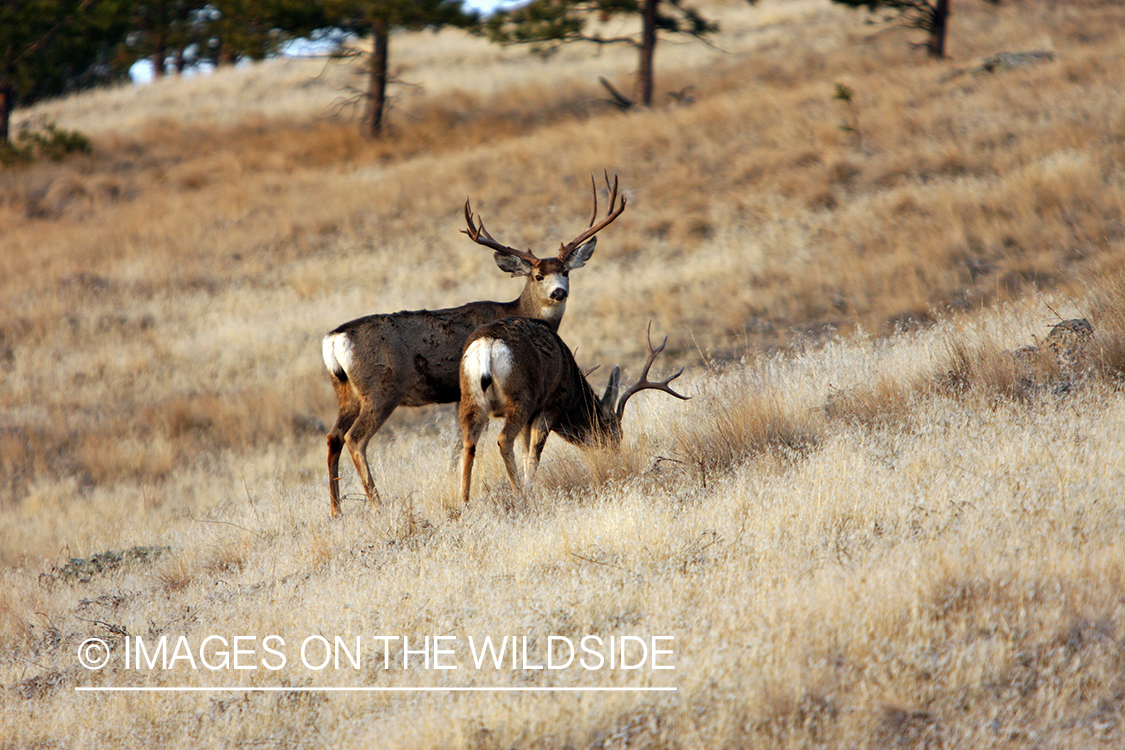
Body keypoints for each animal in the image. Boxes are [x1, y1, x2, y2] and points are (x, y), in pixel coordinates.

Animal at [321, 175, 626, 517]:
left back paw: (336, 510)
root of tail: (334, 339)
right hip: (381, 389)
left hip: (346, 391)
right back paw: (377, 503)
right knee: (355, 438)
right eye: (537, 275)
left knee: (333, 436)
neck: (517, 310)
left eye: (565, 271)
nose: (559, 292)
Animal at [456, 317, 689, 508]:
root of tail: (487, 344)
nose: (617, 462)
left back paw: (465, 503)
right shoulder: (551, 405)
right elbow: (533, 454)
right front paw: (528, 489)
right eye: (616, 435)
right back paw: (519, 495)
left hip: (470, 398)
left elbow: (525, 452)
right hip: (520, 397)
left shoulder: (533, 416)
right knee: (504, 439)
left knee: (469, 443)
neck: (573, 392)